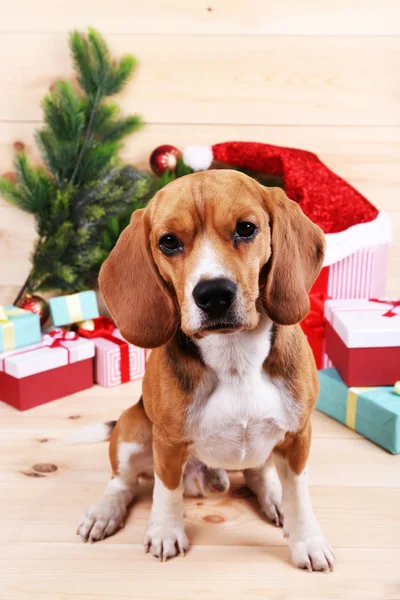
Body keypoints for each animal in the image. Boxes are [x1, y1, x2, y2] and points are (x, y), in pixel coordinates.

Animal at [76, 169, 334, 572]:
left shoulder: (298, 436)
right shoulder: (167, 443)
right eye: (168, 242)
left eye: (246, 228)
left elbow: (299, 495)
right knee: (122, 482)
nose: (213, 294)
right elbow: (166, 491)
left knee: (259, 473)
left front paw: (307, 539)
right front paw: (165, 531)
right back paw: (105, 511)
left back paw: (272, 495)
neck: (235, 357)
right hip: (133, 429)